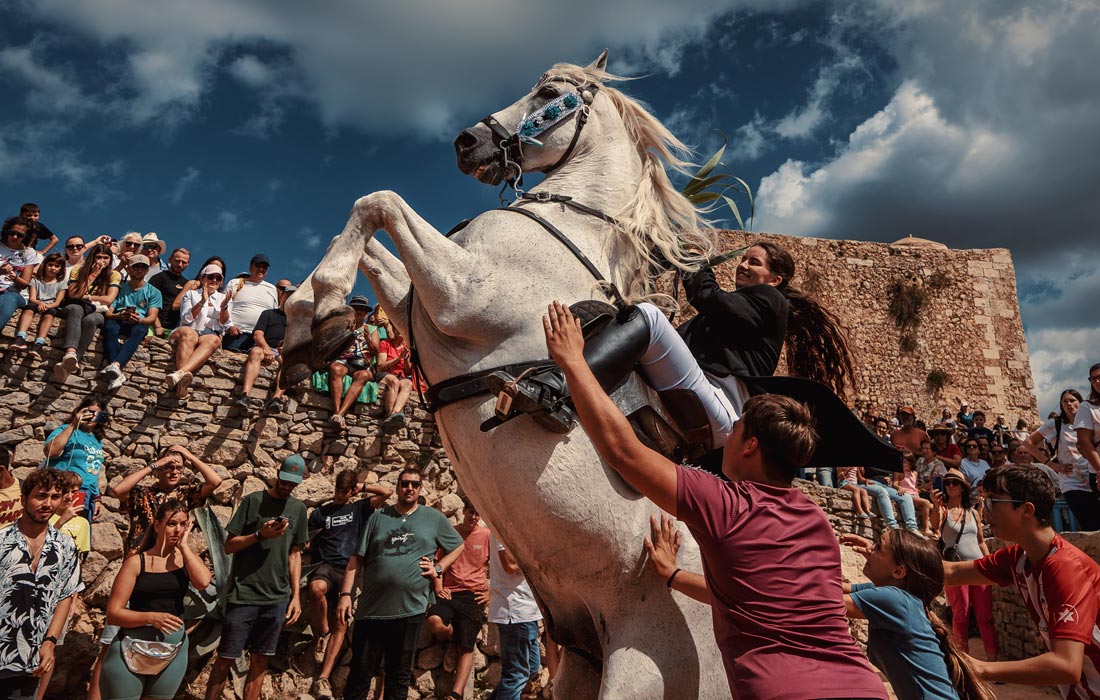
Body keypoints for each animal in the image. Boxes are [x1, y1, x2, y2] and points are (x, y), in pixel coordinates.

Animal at [283, 52, 730, 695]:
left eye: (547, 92)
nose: (467, 142)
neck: (568, 221)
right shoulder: (421, 303)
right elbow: (371, 237)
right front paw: (313, 323)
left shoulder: (466, 294)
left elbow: (380, 201)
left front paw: (321, 303)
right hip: (581, 667)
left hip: (641, 673)